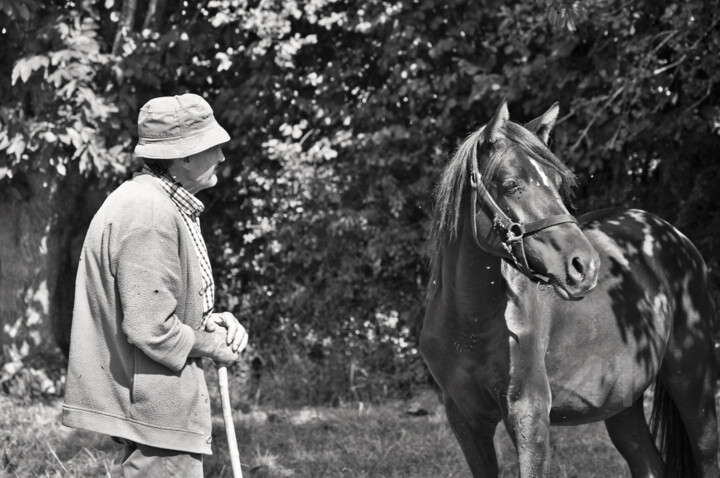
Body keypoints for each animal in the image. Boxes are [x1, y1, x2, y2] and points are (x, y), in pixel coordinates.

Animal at [420, 100, 719, 477]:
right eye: (511, 184)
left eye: (558, 182)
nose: (585, 265)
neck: (469, 323)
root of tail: (669, 234)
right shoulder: (465, 420)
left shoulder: (529, 415)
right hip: (623, 402)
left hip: (693, 382)